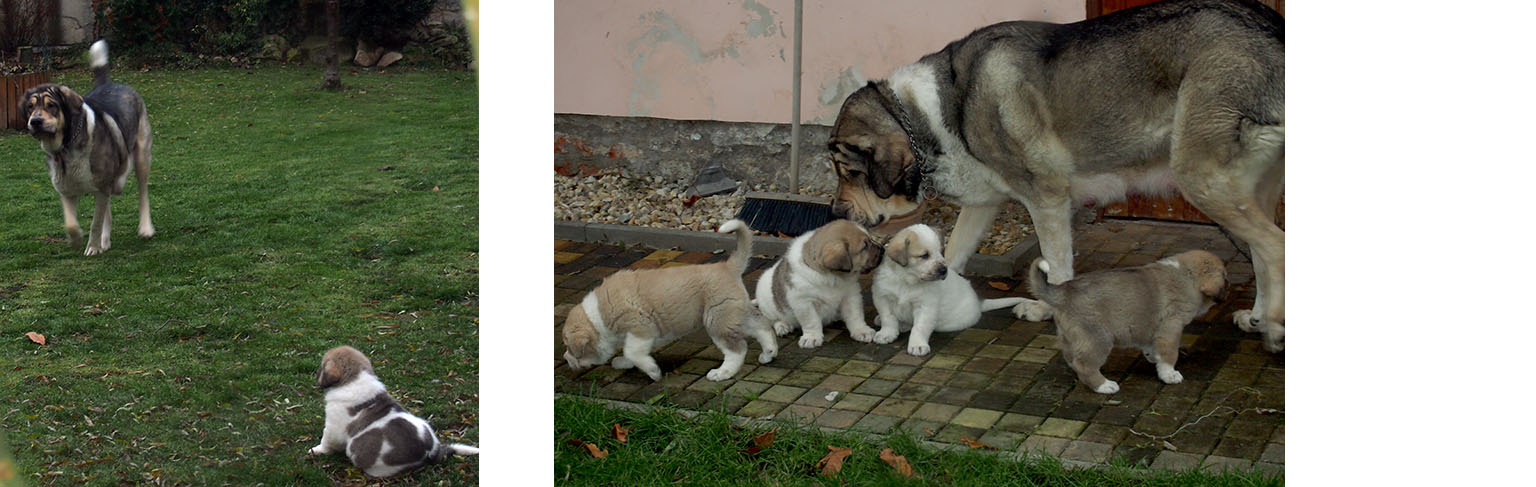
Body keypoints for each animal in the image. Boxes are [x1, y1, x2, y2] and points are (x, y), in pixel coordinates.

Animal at [308, 342, 476, 476]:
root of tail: (431, 451)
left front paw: (317, 450)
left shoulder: (333, 427)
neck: (354, 379)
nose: (315, 374)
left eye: (321, 366)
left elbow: (326, 441)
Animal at [562, 218, 780, 380]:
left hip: (717, 319)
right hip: (734, 311)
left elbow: (632, 351)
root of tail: (727, 266)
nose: (566, 359)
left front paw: (653, 372)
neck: (597, 315)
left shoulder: (640, 328)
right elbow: (630, 352)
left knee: (737, 349)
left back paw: (721, 373)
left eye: (570, 348)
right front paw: (624, 363)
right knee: (762, 325)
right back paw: (768, 353)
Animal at [752, 218, 884, 347]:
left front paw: (861, 330)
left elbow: (855, 315)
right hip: (768, 305)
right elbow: (811, 321)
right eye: (865, 246)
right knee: (773, 319)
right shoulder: (804, 303)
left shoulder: (851, 295)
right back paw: (782, 326)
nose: (882, 248)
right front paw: (812, 337)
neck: (832, 277)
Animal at [829, 0, 1284, 348]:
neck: (934, 114)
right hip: (1244, 192)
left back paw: (1274, 327)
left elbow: (1059, 267)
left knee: (1275, 249)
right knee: (1263, 257)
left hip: (1202, 182)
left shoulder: (1046, 199)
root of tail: (1271, 30)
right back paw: (1257, 318)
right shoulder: (984, 204)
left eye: (848, 172)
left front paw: (1049, 309)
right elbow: (954, 254)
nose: (835, 211)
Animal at [1026, 248, 1228, 393]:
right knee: (1084, 365)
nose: (1227, 294)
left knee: (1072, 359)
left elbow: (1150, 345)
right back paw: (1104, 386)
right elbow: (1170, 354)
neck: (1187, 276)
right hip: (1098, 339)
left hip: (1070, 337)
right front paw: (1169, 374)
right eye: (1225, 279)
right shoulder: (1171, 328)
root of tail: (1063, 292)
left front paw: (1152, 357)